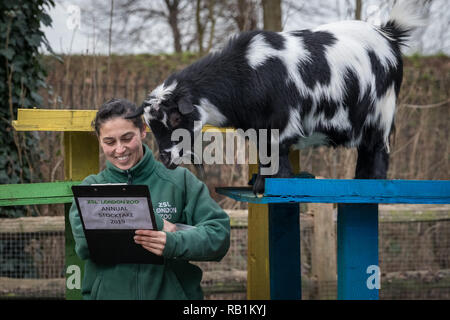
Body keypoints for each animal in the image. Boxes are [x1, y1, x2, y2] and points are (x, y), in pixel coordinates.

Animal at [127, 1, 426, 194]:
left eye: (176, 118)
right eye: (151, 125)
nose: (166, 159)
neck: (245, 71)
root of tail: (389, 34)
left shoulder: (280, 122)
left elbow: (277, 153)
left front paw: (268, 185)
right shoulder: (256, 127)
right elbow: (264, 154)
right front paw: (258, 182)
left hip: (382, 112)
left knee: (378, 149)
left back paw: (374, 182)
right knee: (366, 149)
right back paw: (360, 181)